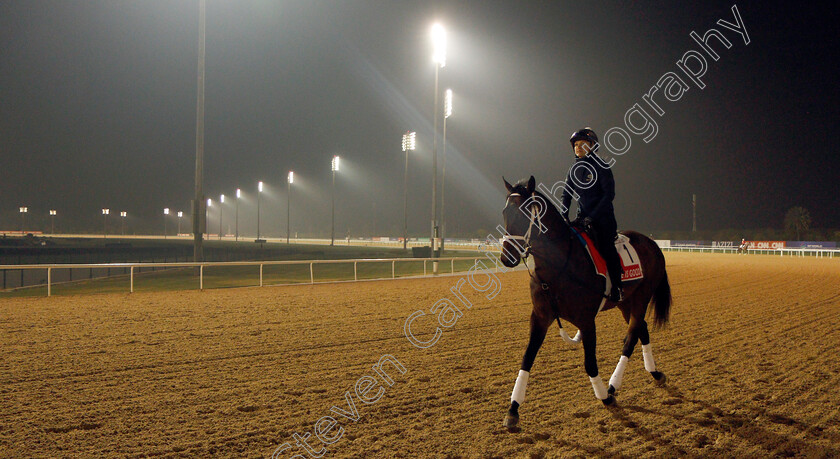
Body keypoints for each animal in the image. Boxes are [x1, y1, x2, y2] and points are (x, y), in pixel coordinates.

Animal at [502, 176, 672, 432]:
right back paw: (654, 373)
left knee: (631, 337)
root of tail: (651, 242)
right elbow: (527, 358)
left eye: (523, 214)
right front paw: (513, 409)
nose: (507, 256)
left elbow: (590, 363)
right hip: (626, 302)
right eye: (504, 213)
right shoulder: (540, 317)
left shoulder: (586, 320)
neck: (558, 267)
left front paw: (604, 397)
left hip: (643, 296)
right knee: (641, 330)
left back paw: (613, 385)